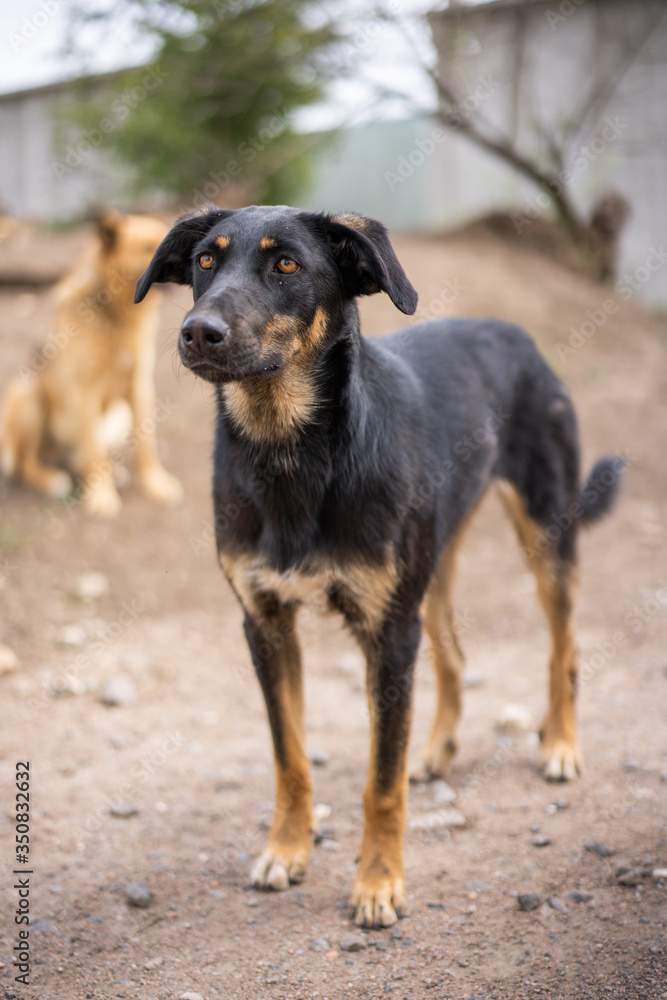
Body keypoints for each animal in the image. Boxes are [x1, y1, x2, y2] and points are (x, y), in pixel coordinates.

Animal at [0, 214, 183, 520]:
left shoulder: (140, 386)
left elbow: (146, 446)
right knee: (28, 463)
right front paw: (101, 498)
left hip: (118, 418)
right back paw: (50, 479)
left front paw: (155, 484)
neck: (116, 313)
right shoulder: (85, 392)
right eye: (148, 247)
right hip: (28, 396)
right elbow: (95, 453)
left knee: (85, 458)